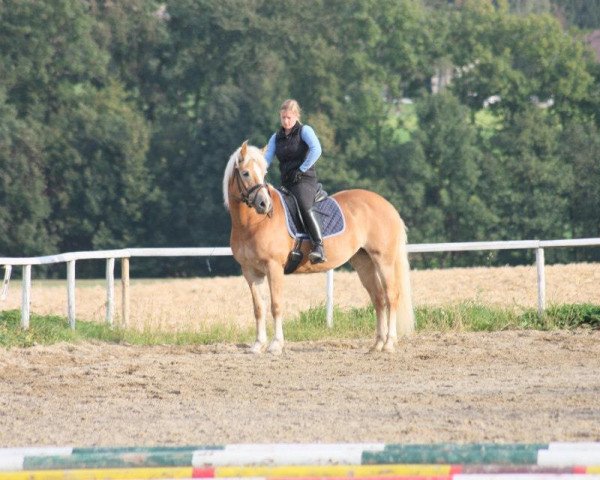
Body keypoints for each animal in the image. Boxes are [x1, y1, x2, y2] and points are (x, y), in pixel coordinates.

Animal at [223, 141, 414, 354]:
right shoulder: (250, 272)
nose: (265, 204)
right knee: (379, 299)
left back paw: (389, 343)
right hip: (364, 263)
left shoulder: (274, 268)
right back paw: (377, 345)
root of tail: (388, 206)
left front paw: (276, 344)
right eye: (246, 173)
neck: (253, 223)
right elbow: (258, 308)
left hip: (383, 260)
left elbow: (276, 305)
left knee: (391, 296)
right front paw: (257, 345)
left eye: (264, 173)